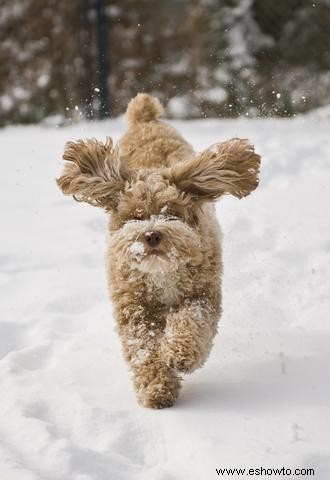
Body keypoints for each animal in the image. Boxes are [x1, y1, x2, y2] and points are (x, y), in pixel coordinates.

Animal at [57, 94, 262, 408]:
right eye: (134, 216)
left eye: (170, 212)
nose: (152, 234)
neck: (161, 272)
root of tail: (146, 119)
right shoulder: (133, 306)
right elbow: (144, 348)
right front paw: (157, 388)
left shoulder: (201, 294)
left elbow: (191, 322)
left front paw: (180, 354)